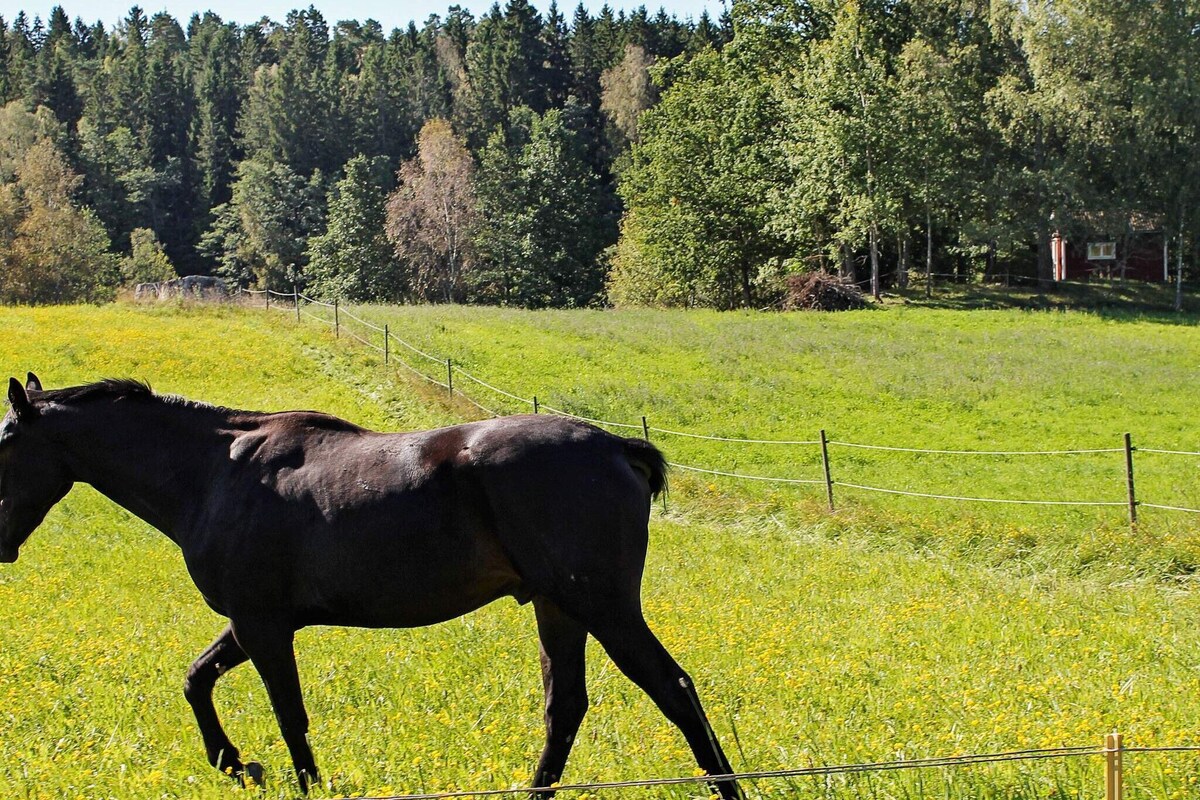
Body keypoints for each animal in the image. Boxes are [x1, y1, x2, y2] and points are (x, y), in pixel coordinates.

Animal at [2, 376, 739, 800]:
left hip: (602, 607)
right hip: (559, 608)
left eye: (5, 440)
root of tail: (616, 447)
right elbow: (196, 680)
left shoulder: (262, 624)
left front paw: (281, 776)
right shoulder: (254, 622)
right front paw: (237, 764)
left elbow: (289, 716)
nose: (0, 538)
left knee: (673, 691)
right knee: (566, 710)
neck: (214, 471)